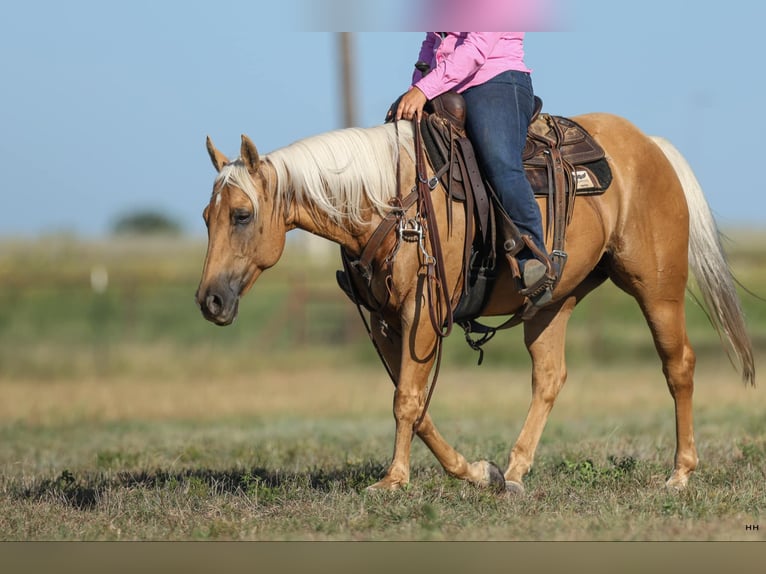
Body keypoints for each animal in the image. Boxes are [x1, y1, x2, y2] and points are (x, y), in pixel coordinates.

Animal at [196, 113, 755, 493]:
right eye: (206, 217)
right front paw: (477, 472)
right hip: (553, 302)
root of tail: (649, 146)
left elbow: (406, 400)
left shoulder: (423, 313)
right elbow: (413, 402)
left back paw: (680, 473)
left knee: (678, 365)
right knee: (549, 377)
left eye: (242, 214)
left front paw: (393, 480)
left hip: (656, 289)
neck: (391, 203)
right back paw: (515, 471)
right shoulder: (385, 322)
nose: (210, 301)